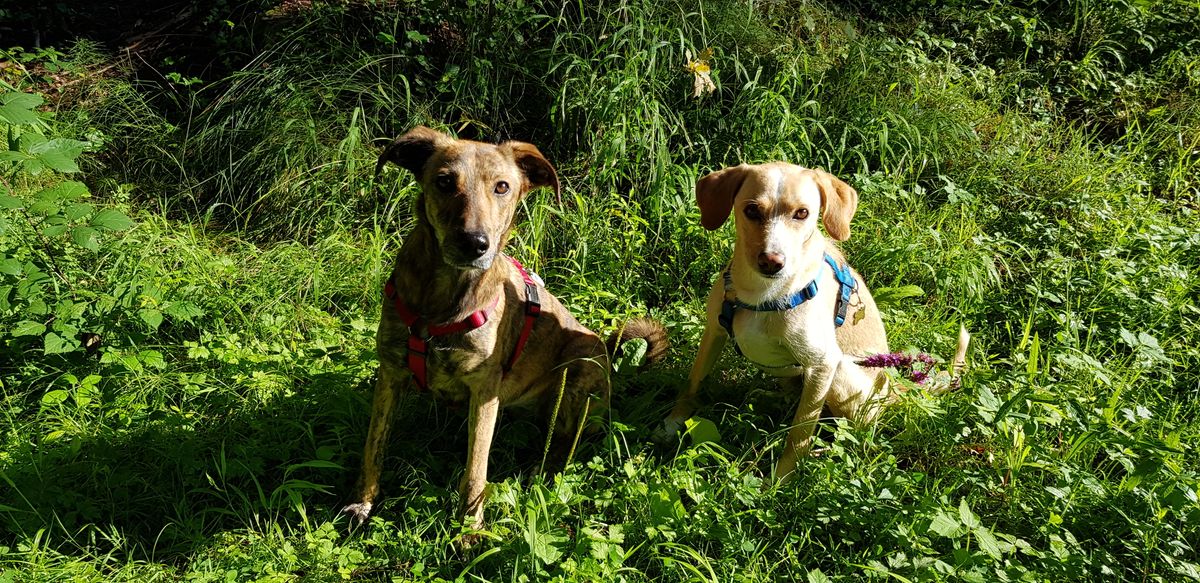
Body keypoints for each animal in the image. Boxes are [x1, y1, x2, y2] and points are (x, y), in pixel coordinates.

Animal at [343, 126, 672, 527]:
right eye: (444, 181)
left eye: (502, 187)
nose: (474, 243)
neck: (443, 298)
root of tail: (610, 359)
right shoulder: (390, 373)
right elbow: (373, 446)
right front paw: (362, 503)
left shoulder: (485, 390)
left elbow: (475, 471)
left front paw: (469, 529)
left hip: (580, 365)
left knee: (568, 441)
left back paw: (541, 470)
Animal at [657, 161, 892, 479]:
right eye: (752, 210)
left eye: (802, 213)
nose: (771, 261)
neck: (762, 294)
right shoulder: (713, 332)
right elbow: (692, 384)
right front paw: (674, 421)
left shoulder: (823, 364)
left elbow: (800, 433)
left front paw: (782, 478)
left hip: (843, 372)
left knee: (850, 435)